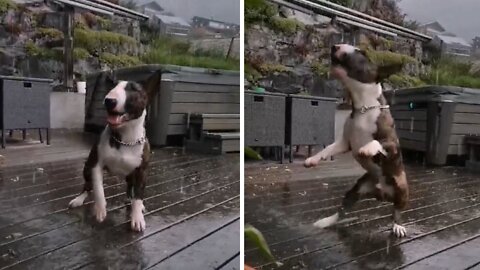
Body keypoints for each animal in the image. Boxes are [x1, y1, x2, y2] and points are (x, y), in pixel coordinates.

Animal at [68, 75, 158, 233]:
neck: (126, 139)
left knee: (131, 188)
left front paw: (137, 218)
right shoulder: (96, 165)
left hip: (131, 174)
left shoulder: (141, 171)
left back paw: (133, 202)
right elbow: (98, 189)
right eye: (112, 87)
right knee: (87, 185)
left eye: (133, 89)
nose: (109, 100)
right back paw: (79, 199)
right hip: (86, 169)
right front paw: (100, 210)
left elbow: (138, 195)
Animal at [306, 44, 410, 238]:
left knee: (397, 210)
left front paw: (366, 149)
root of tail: (381, 194)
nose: (335, 46)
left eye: (362, 53)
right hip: (356, 190)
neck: (363, 106)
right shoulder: (344, 143)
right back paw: (326, 221)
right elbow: (328, 149)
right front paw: (313, 159)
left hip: (401, 187)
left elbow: (377, 143)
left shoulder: (391, 143)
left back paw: (398, 225)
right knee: (343, 210)